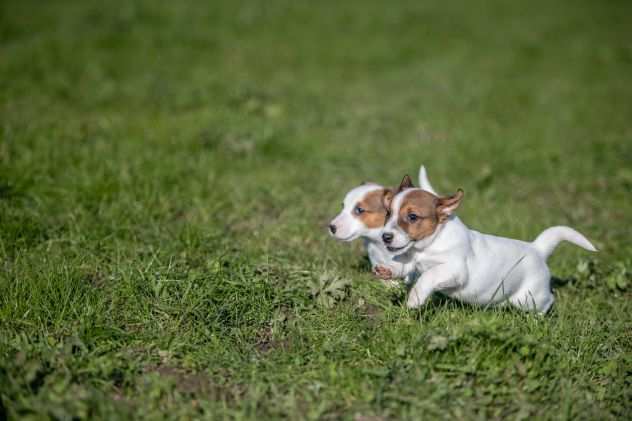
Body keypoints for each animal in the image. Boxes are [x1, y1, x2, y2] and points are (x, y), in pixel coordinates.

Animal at [380, 177, 596, 312]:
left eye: (412, 217)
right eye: (388, 213)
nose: (385, 237)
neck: (429, 244)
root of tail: (537, 249)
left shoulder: (455, 269)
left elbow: (429, 275)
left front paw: (415, 299)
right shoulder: (414, 261)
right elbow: (404, 265)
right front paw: (386, 270)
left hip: (529, 297)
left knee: (548, 300)